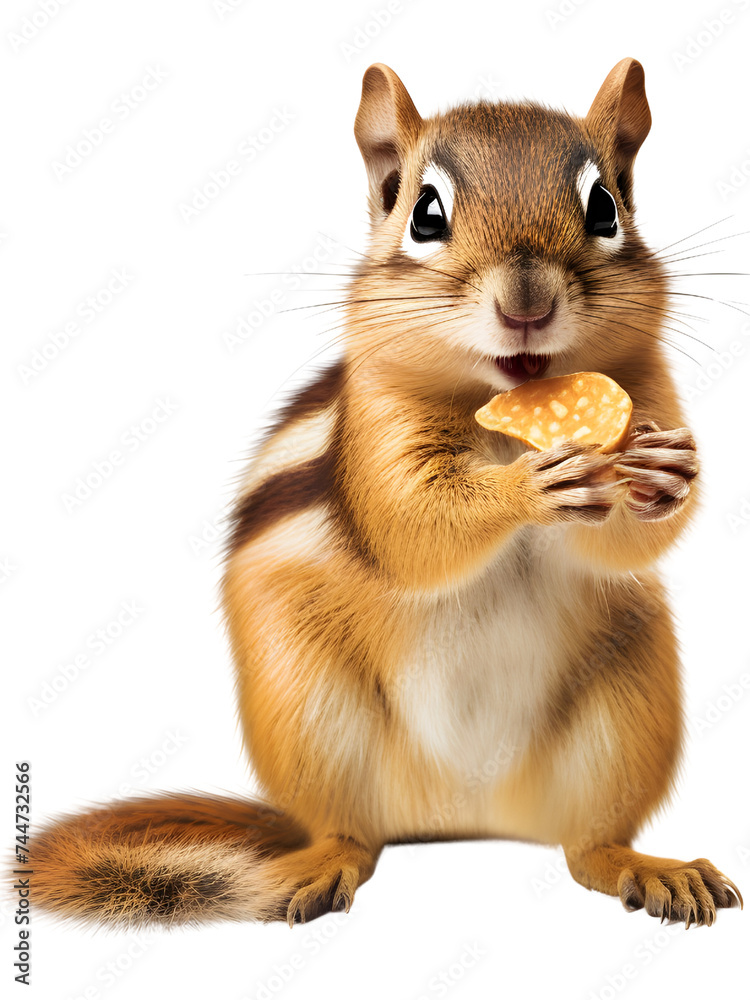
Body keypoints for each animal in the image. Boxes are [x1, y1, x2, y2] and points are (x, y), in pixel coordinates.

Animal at [29, 58, 742, 929]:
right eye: (425, 213)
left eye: (605, 207)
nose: (527, 306)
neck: (504, 413)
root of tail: (462, 814)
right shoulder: (376, 432)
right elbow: (412, 524)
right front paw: (528, 488)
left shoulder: (651, 389)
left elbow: (630, 539)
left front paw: (667, 474)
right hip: (308, 711)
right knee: (351, 834)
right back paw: (322, 866)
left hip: (629, 707)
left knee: (587, 850)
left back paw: (647, 868)